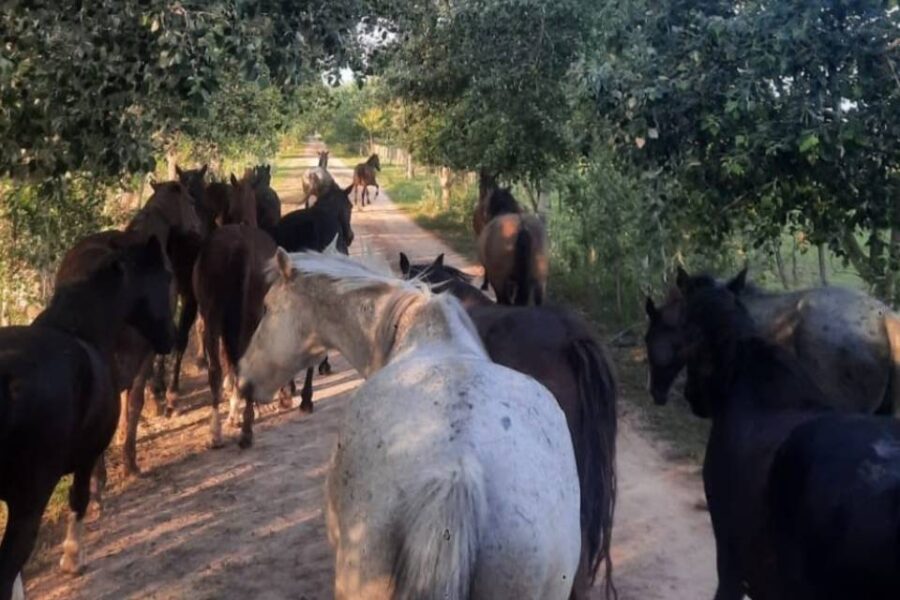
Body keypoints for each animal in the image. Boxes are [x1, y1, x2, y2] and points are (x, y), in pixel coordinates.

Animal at [0, 237, 174, 600]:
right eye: (165, 277)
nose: (171, 336)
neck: (79, 330)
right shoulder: (87, 457)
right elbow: (79, 498)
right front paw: (72, 559)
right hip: (28, 504)